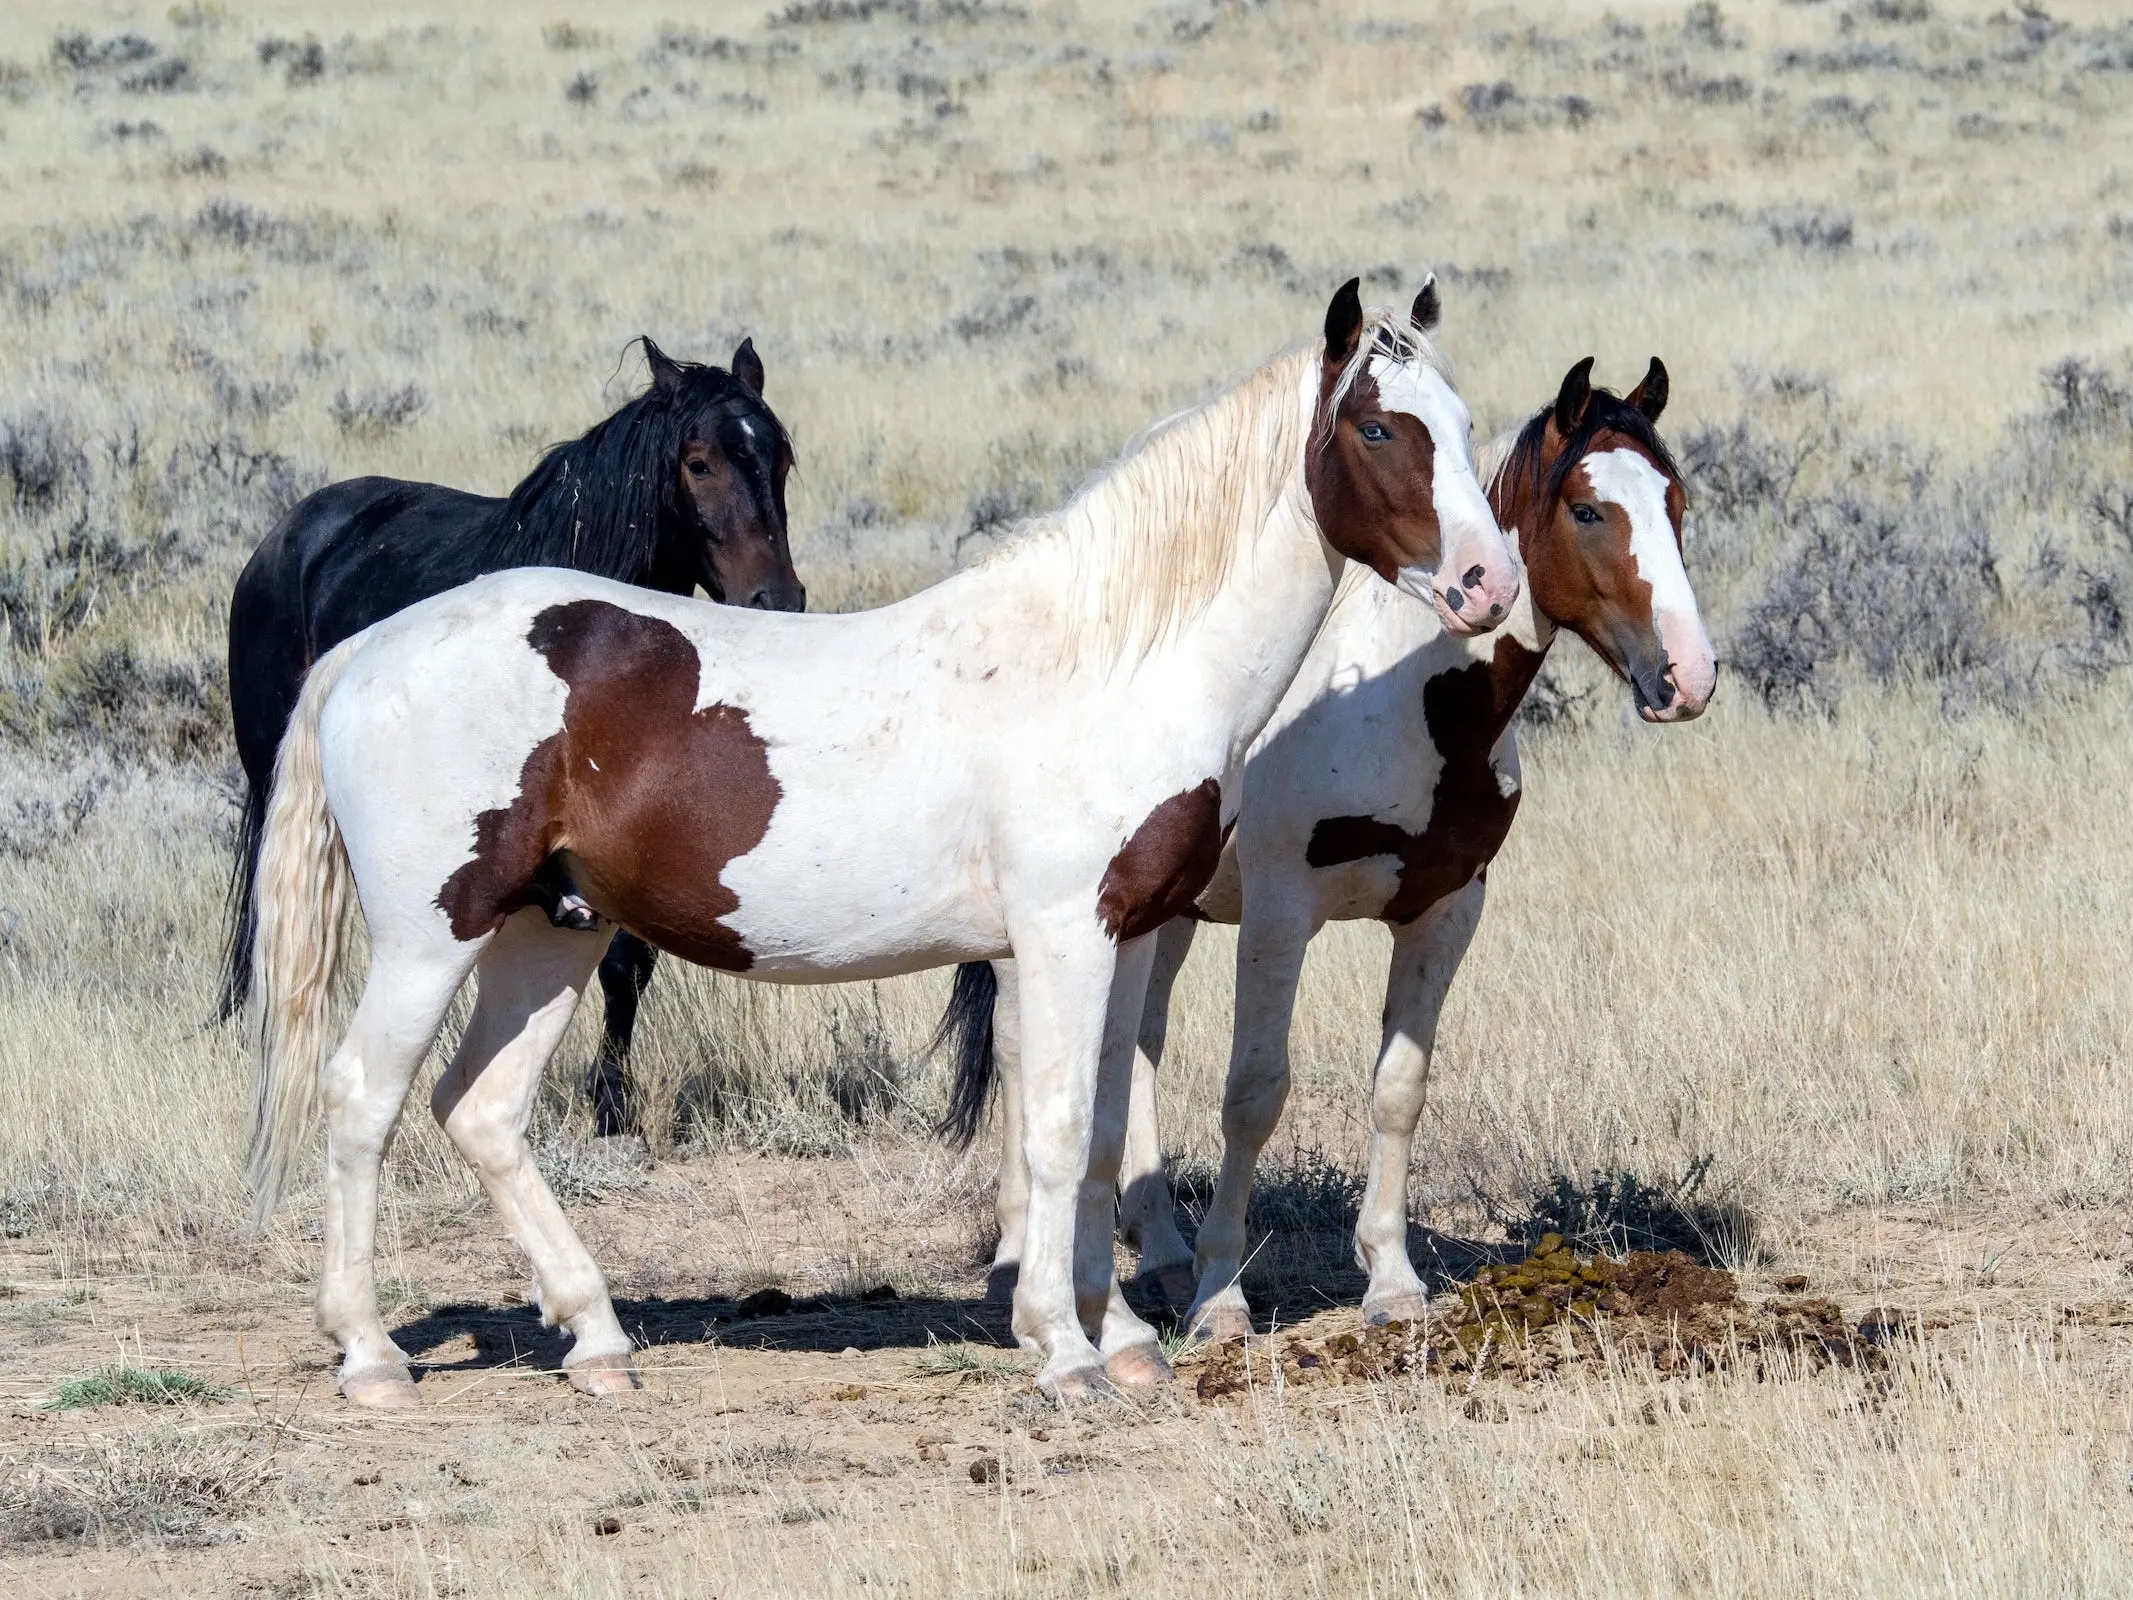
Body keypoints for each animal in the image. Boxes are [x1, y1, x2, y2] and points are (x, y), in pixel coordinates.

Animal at [222, 339, 802, 1143]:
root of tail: (289, 533)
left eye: (781, 457)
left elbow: (628, 965)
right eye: (698, 462)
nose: (776, 600)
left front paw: (612, 1106)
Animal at [968, 360, 1714, 1339]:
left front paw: (1391, 1280)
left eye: (1675, 502)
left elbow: (1399, 1089)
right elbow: (1252, 1095)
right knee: (1025, 1053)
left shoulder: (1446, 910)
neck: (1409, 705)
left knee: (1133, 1053)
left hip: (1161, 918)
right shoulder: (1280, 915)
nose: (1687, 678)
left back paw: (1157, 1253)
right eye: (1588, 510)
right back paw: (1022, 1261)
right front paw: (1221, 1293)